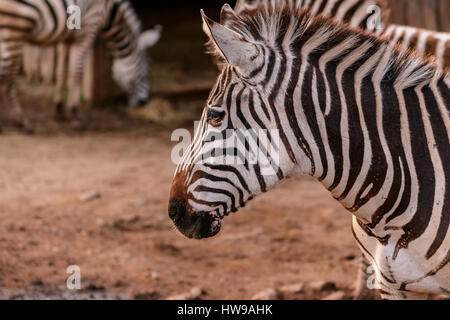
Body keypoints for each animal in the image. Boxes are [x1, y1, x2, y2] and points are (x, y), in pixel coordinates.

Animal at [0, 0, 162, 132]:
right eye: (147, 69)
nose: (144, 102)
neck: (109, 10)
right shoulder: (89, 28)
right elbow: (76, 72)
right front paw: (75, 115)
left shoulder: (66, 38)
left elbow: (61, 71)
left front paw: (59, 111)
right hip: (14, 29)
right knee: (7, 76)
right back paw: (21, 121)